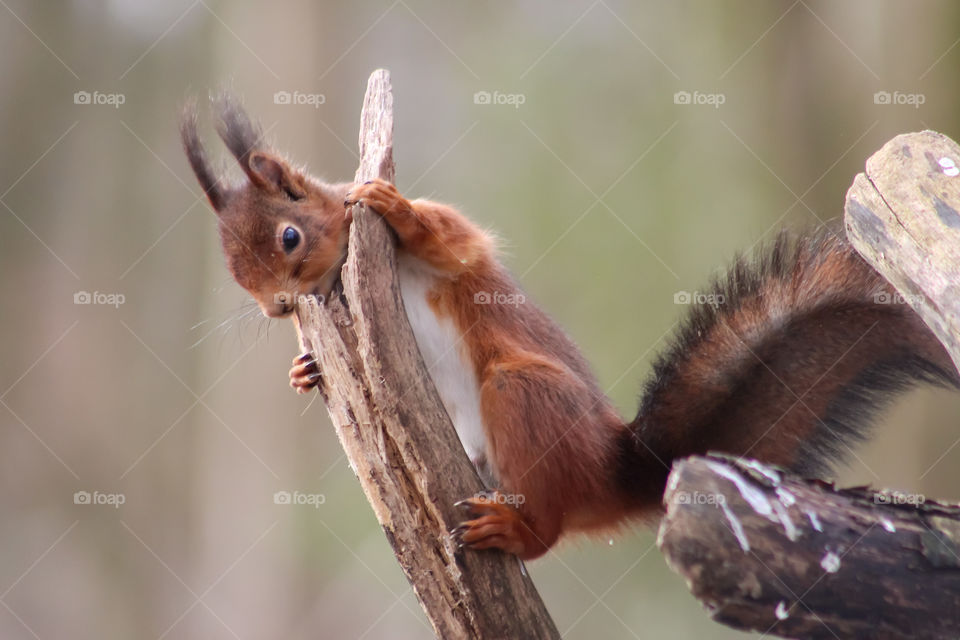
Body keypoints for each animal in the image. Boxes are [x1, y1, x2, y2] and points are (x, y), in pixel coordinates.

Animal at [181, 94, 960, 561]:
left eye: (288, 236)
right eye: (235, 273)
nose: (277, 309)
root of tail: (615, 472)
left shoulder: (454, 252)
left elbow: (449, 236)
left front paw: (390, 204)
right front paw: (303, 368)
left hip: (526, 396)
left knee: (545, 528)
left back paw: (515, 531)